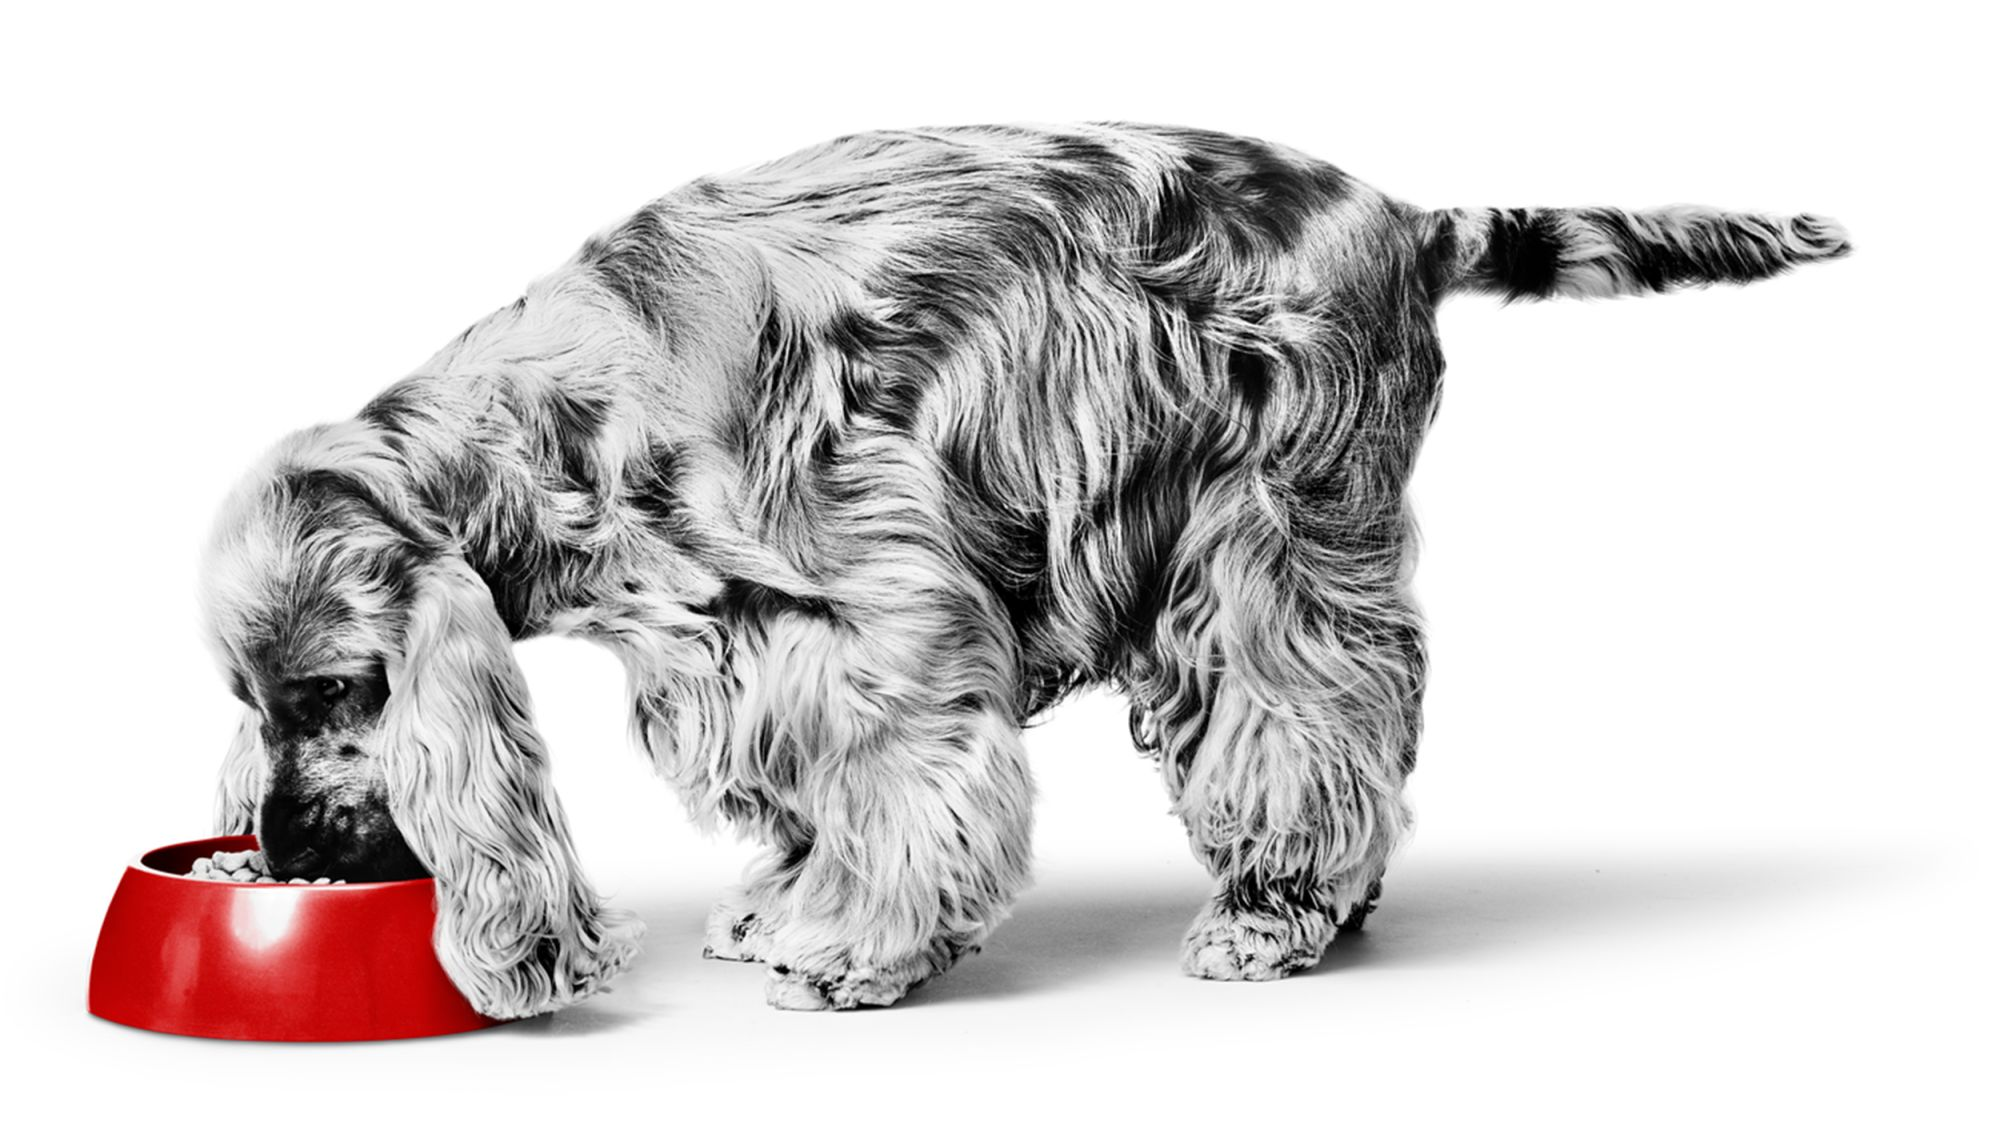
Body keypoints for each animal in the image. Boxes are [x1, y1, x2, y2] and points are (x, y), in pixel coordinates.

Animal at [195, 123, 1848, 1012]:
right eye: (249, 703)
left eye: (342, 691)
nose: (279, 852)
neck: (561, 421)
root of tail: (1405, 216)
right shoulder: (740, 639)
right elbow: (797, 784)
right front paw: (777, 903)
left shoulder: (884, 605)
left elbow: (901, 786)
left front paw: (851, 948)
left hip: (1265, 536)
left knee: (1319, 721)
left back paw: (1276, 907)